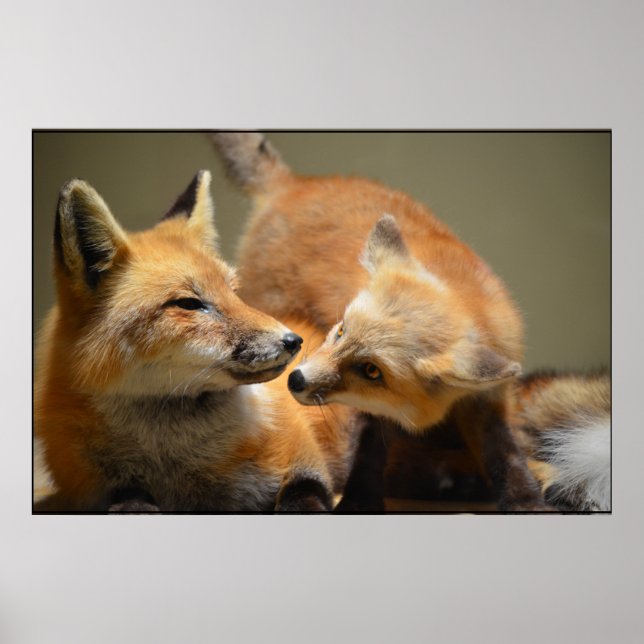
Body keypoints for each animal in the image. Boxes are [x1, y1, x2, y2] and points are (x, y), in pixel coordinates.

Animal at [34, 169, 357, 512]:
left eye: (234, 292)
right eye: (188, 304)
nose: (293, 341)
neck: (175, 459)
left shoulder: (303, 463)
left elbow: (303, 498)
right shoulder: (97, 489)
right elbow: (131, 504)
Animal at [212, 132, 551, 511]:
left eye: (372, 371)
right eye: (340, 331)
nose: (296, 380)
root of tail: (296, 182)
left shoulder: (487, 395)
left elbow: (506, 453)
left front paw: (526, 502)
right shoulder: (371, 416)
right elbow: (370, 452)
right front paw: (359, 502)